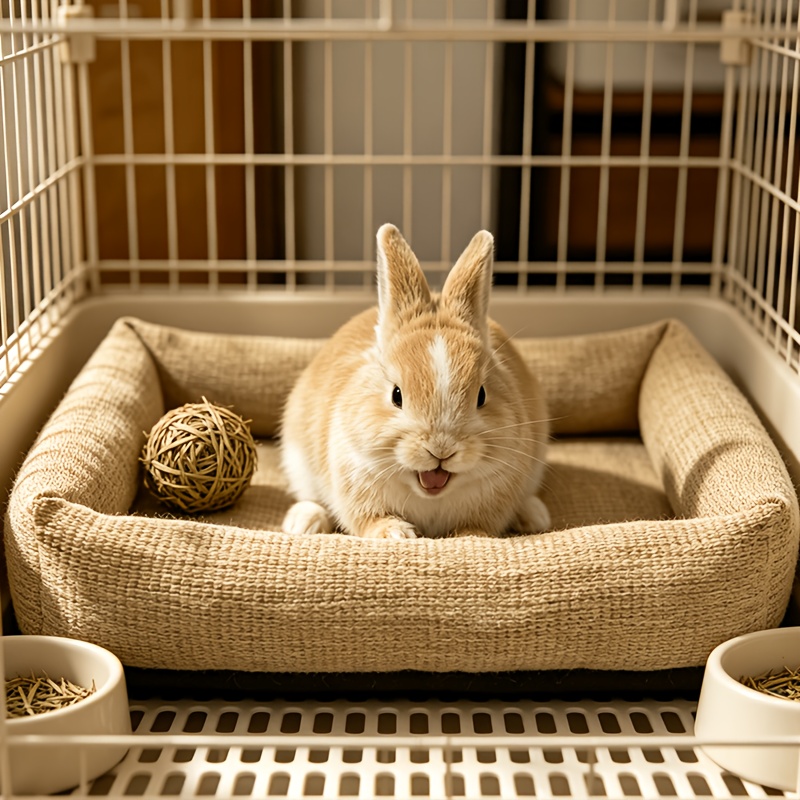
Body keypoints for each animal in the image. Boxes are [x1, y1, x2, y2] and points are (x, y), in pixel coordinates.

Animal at [279, 223, 550, 540]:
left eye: (481, 396)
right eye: (396, 395)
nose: (441, 450)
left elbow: (478, 525)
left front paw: (470, 537)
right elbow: (369, 519)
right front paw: (396, 534)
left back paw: (535, 516)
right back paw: (303, 523)